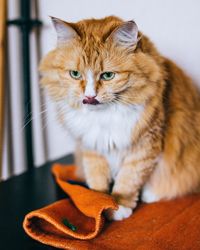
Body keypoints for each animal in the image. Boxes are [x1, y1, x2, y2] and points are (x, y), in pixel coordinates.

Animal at [39, 15, 200, 221]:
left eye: (108, 76)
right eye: (75, 74)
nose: (89, 97)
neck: (103, 118)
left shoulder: (145, 145)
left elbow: (128, 179)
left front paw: (119, 205)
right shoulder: (91, 146)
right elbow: (97, 180)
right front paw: (99, 204)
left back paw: (151, 194)